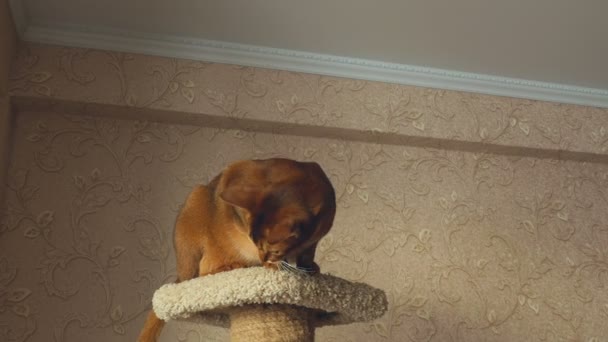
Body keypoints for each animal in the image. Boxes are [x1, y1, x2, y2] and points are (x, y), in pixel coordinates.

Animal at [137, 159, 338, 340]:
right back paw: (231, 266)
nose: (263, 259)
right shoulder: (235, 173)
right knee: (201, 272)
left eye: (274, 251)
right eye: (256, 244)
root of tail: (180, 274)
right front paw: (276, 266)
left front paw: (309, 266)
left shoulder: (314, 239)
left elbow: (308, 252)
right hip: (197, 198)